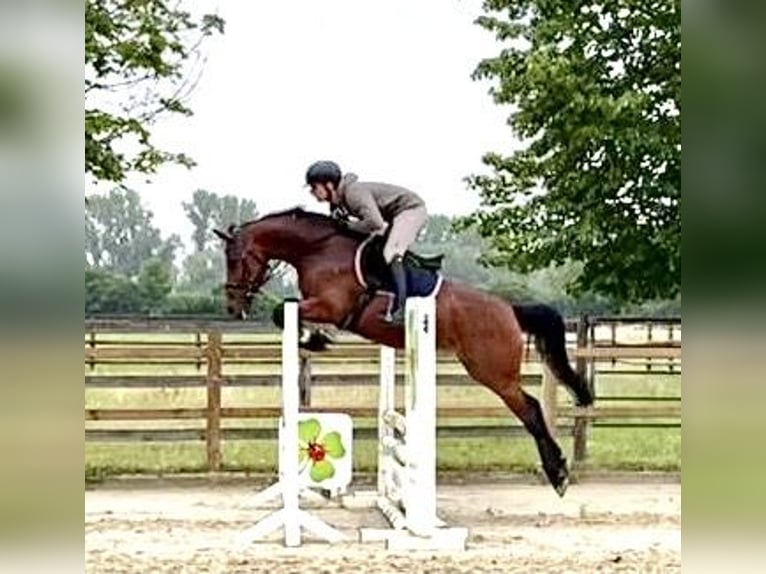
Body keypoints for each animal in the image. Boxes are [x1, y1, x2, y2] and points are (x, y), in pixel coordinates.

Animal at [214, 207, 594, 496]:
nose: (233, 307)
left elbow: (282, 312)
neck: (317, 250)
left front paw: (316, 339)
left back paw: (558, 474)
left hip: (493, 371)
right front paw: (313, 337)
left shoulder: (331, 306)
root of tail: (509, 309)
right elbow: (286, 313)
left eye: (233, 258)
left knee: (530, 409)